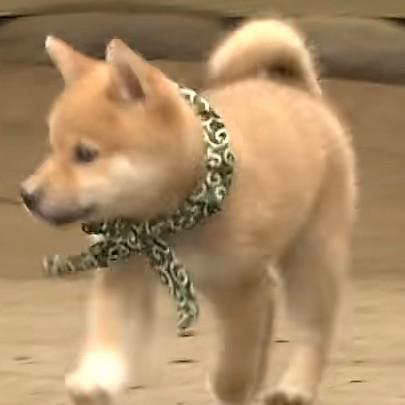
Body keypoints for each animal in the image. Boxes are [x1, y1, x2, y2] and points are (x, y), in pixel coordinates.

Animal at [21, 19, 356, 405]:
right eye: (53, 147)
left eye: (86, 154)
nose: (27, 195)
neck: (167, 221)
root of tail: (297, 90)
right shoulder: (126, 268)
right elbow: (110, 330)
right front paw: (97, 377)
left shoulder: (240, 287)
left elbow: (234, 365)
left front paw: (230, 387)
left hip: (309, 257)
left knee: (314, 328)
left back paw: (296, 386)